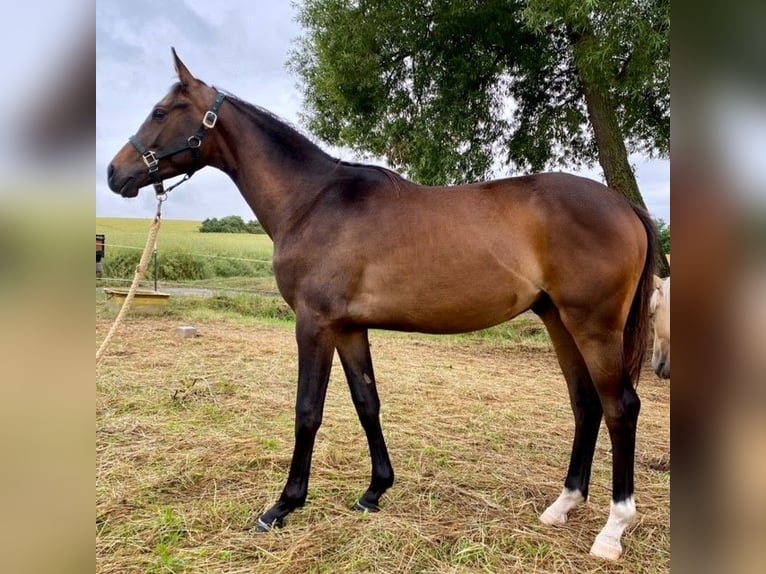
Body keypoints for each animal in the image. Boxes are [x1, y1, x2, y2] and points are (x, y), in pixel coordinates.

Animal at [108, 50, 660, 564]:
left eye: (160, 111)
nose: (115, 173)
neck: (314, 201)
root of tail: (625, 206)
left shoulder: (314, 324)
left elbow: (307, 410)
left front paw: (283, 506)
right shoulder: (349, 328)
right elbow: (366, 402)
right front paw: (375, 491)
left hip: (594, 327)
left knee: (620, 407)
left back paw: (612, 529)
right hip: (559, 322)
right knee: (586, 404)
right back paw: (562, 506)